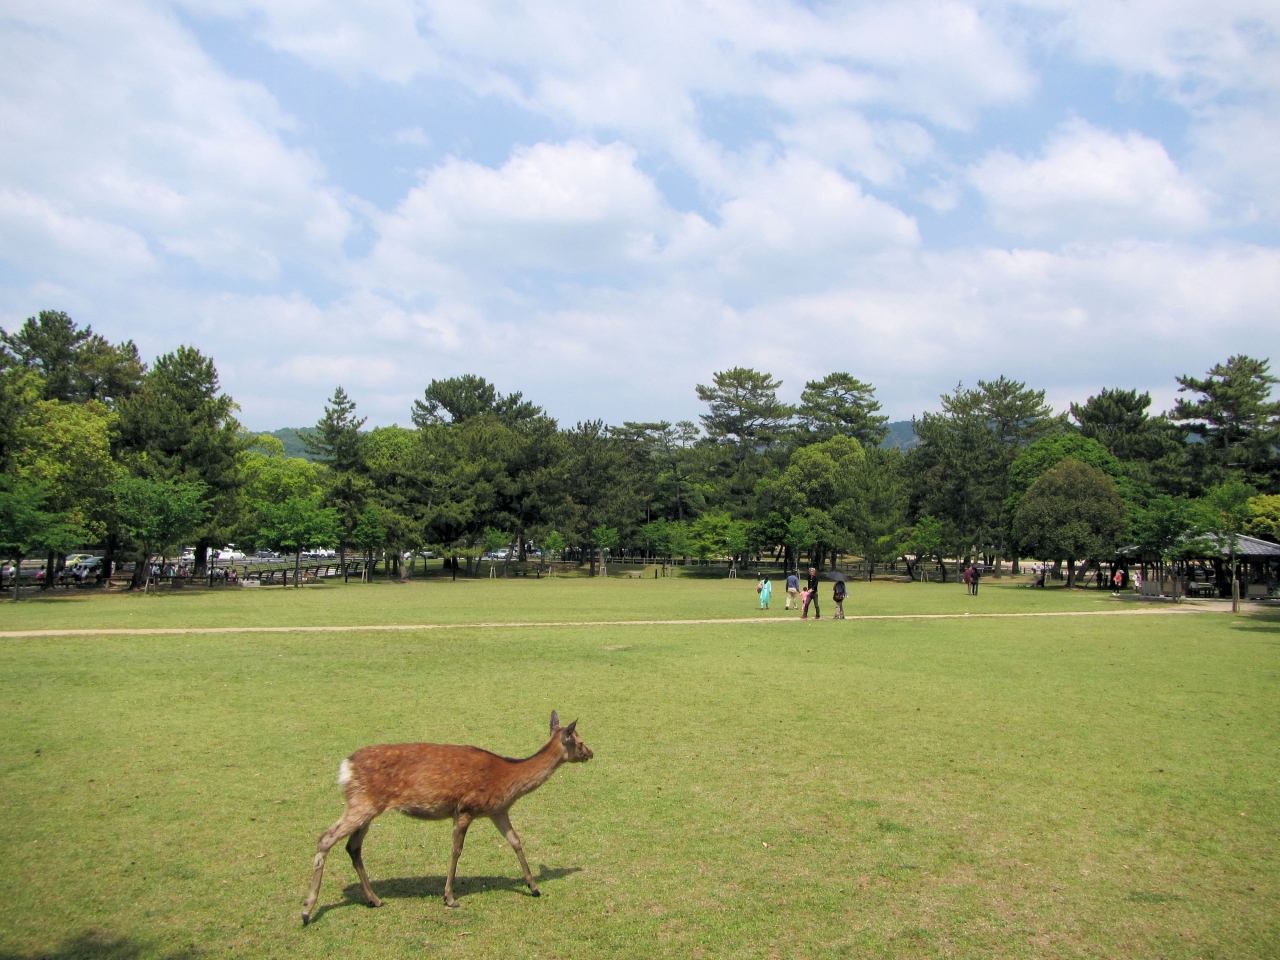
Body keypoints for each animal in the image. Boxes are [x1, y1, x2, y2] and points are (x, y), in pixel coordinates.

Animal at [301, 711, 592, 924]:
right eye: (579, 741)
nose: (591, 753)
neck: (508, 778)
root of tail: (345, 767)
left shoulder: (497, 811)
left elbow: (516, 841)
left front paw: (534, 888)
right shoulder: (465, 809)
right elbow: (456, 850)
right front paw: (450, 897)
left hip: (367, 808)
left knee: (353, 847)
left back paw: (374, 899)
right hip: (362, 803)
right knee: (325, 838)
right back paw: (307, 909)